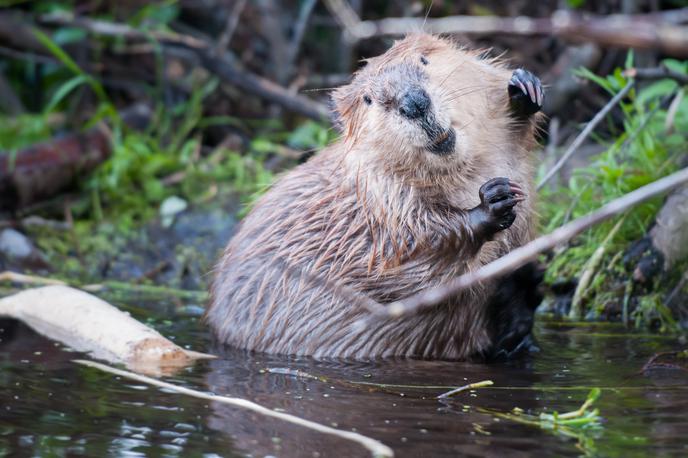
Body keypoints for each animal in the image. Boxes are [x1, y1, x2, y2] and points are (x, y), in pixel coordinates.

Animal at [207, 33, 544, 362]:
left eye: (424, 59)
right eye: (368, 99)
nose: (414, 102)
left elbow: (514, 135)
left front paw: (524, 89)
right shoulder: (381, 200)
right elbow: (412, 258)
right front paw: (493, 201)